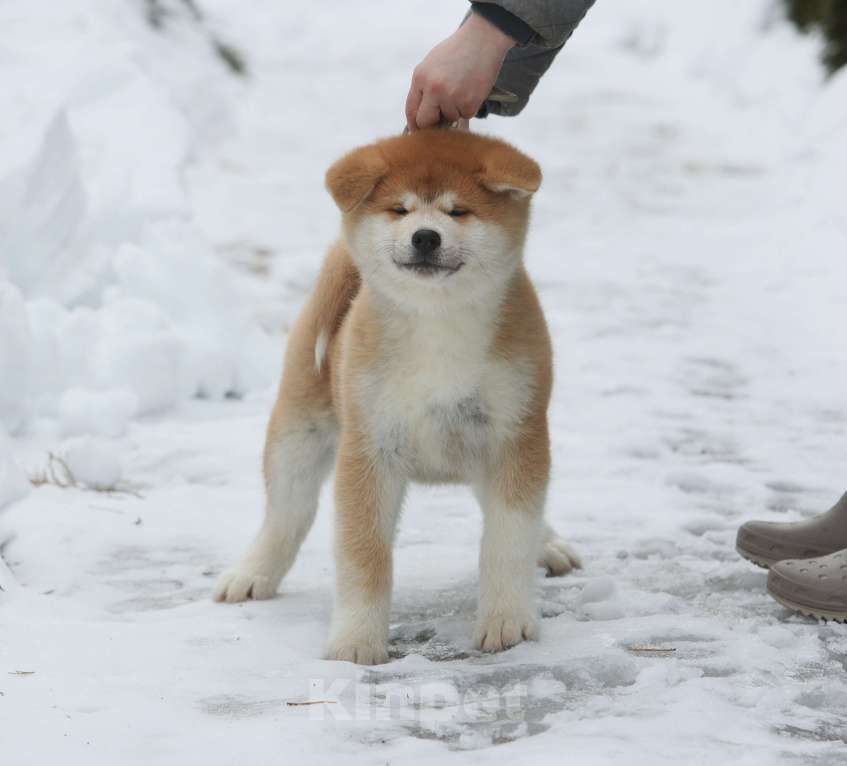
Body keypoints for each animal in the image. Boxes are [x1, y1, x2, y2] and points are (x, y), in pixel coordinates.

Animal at [215, 129, 580, 664]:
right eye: (400, 209)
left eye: (457, 211)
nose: (425, 236)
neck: (438, 327)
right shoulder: (370, 447)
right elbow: (364, 556)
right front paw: (355, 642)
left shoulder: (515, 434)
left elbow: (507, 540)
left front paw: (507, 620)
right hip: (299, 430)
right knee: (286, 513)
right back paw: (251, 572)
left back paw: (548, 543)